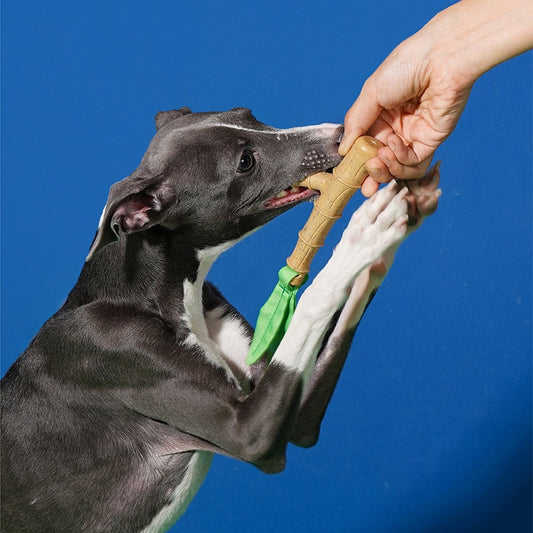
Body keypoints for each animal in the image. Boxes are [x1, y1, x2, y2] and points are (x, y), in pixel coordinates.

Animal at [1, 107, 440, 532]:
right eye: (245, 162)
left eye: (248, 112)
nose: (342, 133)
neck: (145, 295)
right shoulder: (244, 429)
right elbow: (313, 298)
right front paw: (364, 234)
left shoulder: (292, 415)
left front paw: (403, 209)